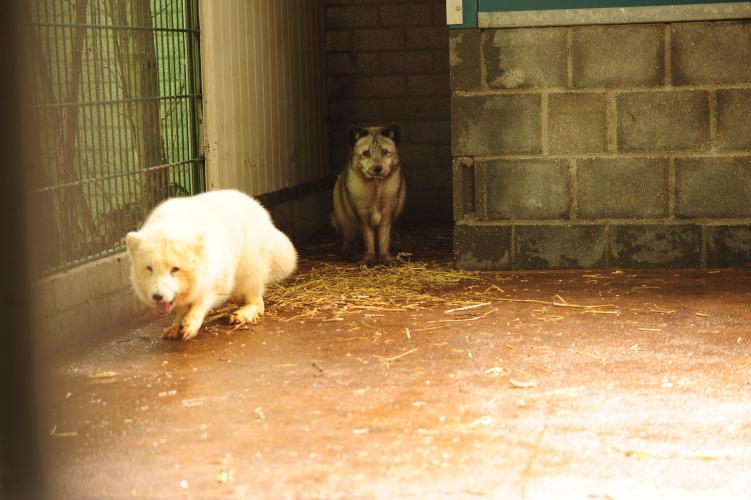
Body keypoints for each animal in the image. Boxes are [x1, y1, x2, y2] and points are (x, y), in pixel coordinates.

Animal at [125, 189, 296, 342]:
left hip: (249, 269)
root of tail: (260, 209)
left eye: (175, 269)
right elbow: (181, 309)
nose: (157, 296)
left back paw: (243, 313)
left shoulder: (220, 280)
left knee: (258, 302)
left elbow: (202, 301)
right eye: (149, 269)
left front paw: (191, 323)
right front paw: (176, 325)